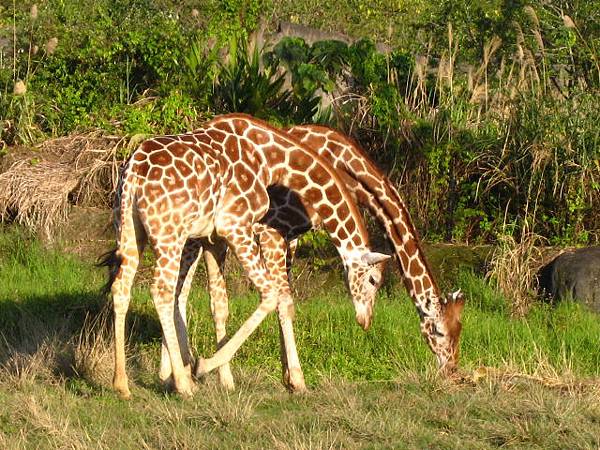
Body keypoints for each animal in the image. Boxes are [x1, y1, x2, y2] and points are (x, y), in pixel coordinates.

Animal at [105, 112, 392, 398]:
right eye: (373, 281)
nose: (366, 321)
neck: (267, 159)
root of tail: (133, 172)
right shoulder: (235, 225)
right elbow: (272, 295)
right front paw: (204, 365)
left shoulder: (214, 239)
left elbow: (220, 304)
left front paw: (223, 378)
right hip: (169, 234)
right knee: (162, 290)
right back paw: (182, 384)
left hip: (130, 229)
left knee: (123, 287)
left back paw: (122, 384)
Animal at [195, 123, 466, 390]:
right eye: (438, 331)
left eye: (459, 330)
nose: (452, 370)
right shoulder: (272, 228)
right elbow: (283, 300)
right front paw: (297, 379)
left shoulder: (291, 235)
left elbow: (285, 298)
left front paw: (287, 376)